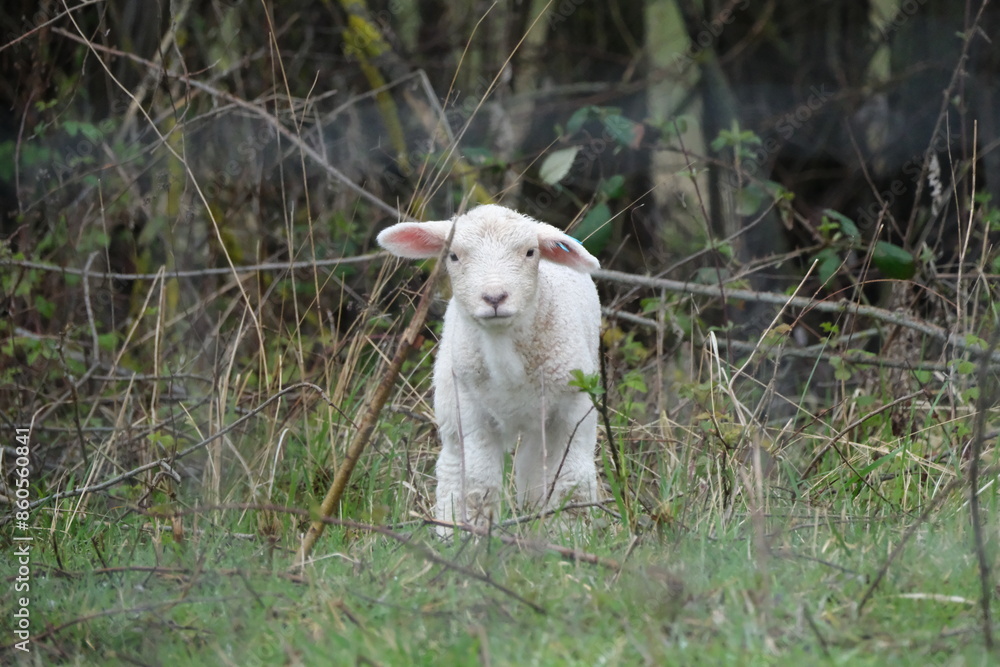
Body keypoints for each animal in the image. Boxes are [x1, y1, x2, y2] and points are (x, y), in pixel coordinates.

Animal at [377, 204, 601, 533]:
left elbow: (572, 480)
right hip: (451, 400)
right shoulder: (472, 413)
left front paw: (573, 532)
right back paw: (449, 527)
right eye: (453, 255)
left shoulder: (573, 408)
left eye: (530, 252)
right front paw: (473, 533)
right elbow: (477, 484)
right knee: (454, 467)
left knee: (534, 465)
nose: (494, 298)